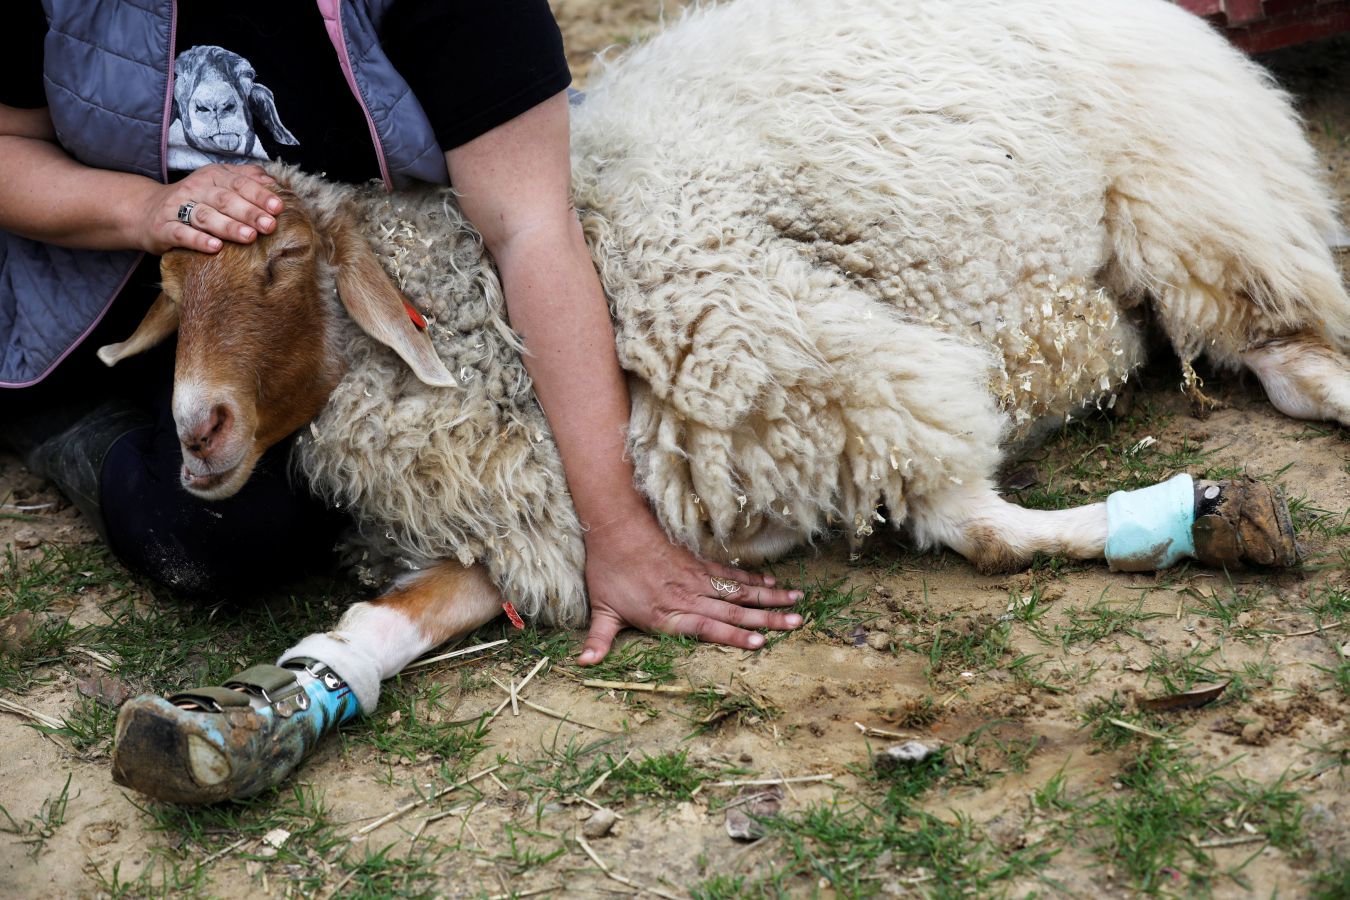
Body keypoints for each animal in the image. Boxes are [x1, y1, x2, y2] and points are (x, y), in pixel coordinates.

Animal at [110, 0, 1344, 804]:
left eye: (286, 266)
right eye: (165, 285)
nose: (196, 432)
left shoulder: (837, 371)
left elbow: (980, 530)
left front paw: (1194, 519)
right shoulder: (546, 522)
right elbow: (390, 620)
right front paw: (252, 716)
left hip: (1204, 222)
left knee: (1296, 355)